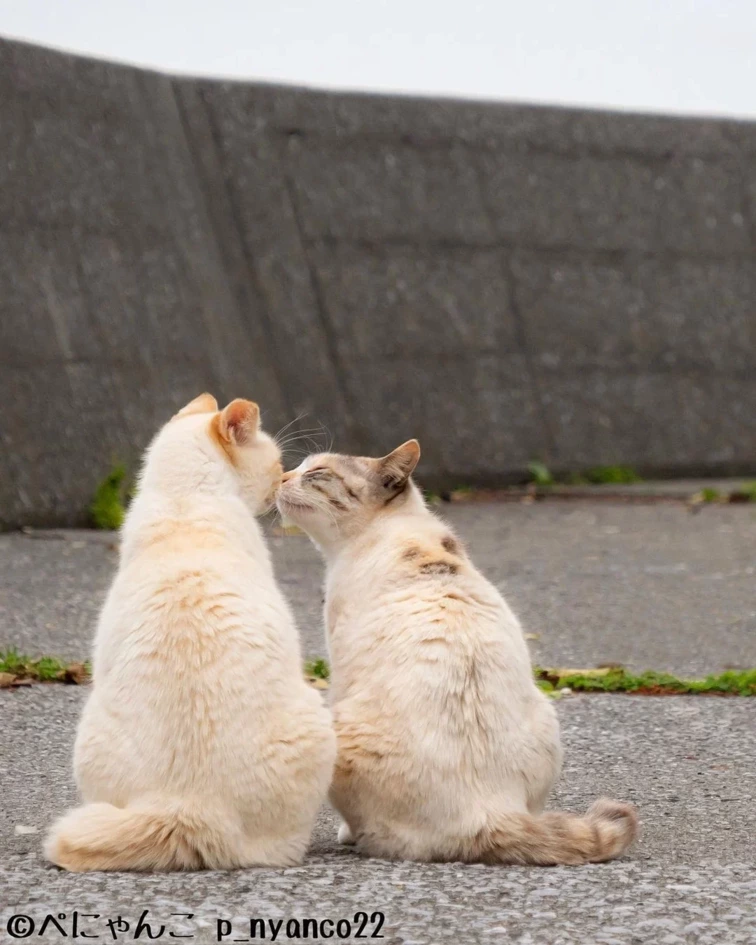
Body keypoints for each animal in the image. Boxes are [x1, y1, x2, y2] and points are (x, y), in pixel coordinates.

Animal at [278, 442, 636, 864]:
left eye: (315, 472)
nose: (280, 476)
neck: (391, 528)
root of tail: (486, 811)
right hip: (548, 721)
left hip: (338, 722)